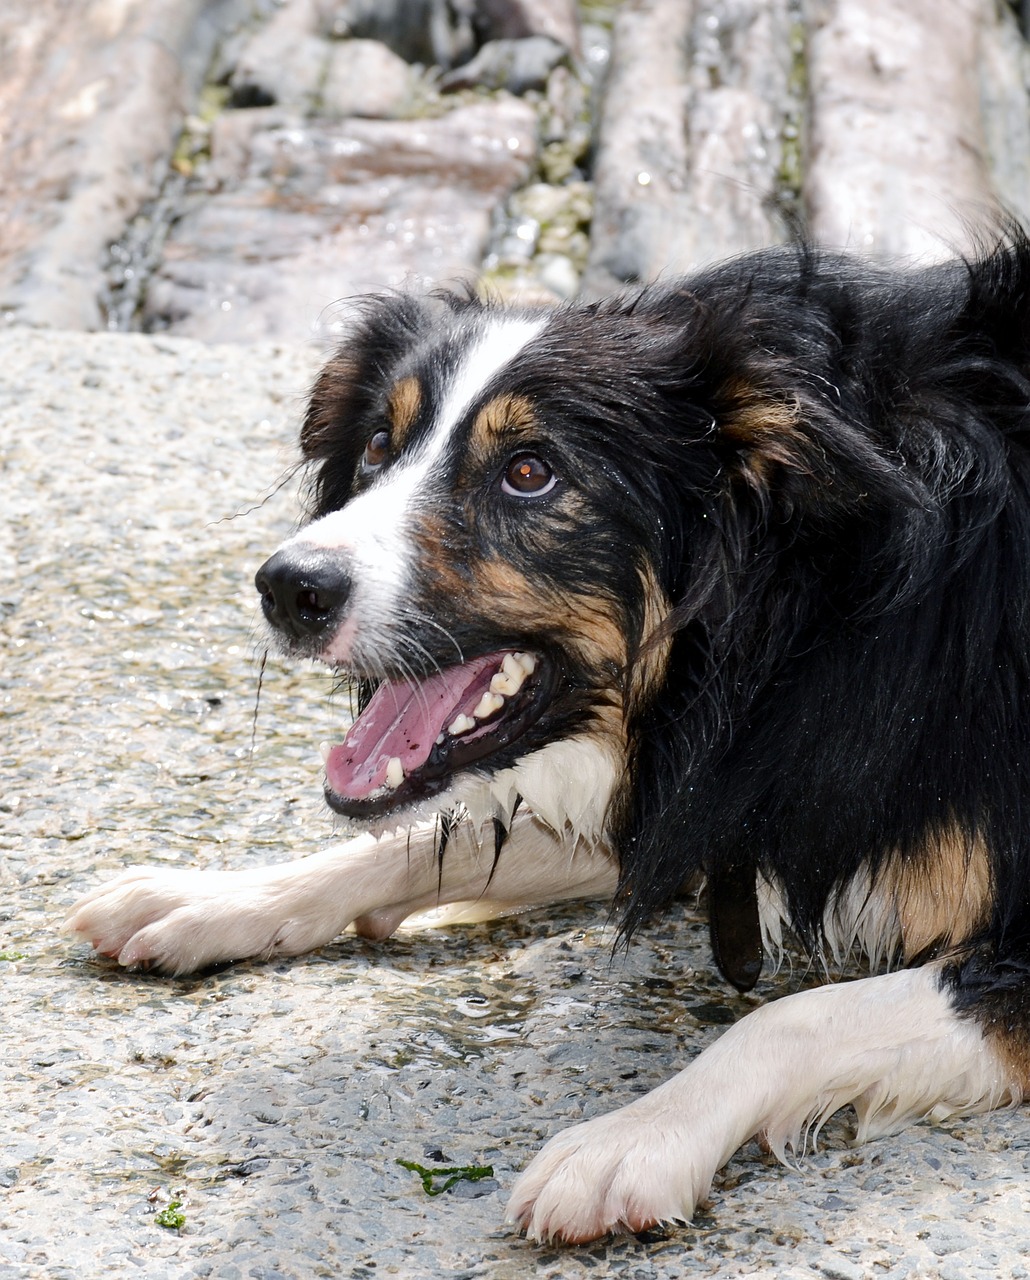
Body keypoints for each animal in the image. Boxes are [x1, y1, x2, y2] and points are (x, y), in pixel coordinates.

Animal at [66, 238, 1030, 1239]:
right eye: (377, 446)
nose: (287, 587)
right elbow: (422, 838)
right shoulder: (705, 795)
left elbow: (786, 1018)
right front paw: (209, 897)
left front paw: (633, 1140)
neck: (806, 613)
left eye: (531, 472)